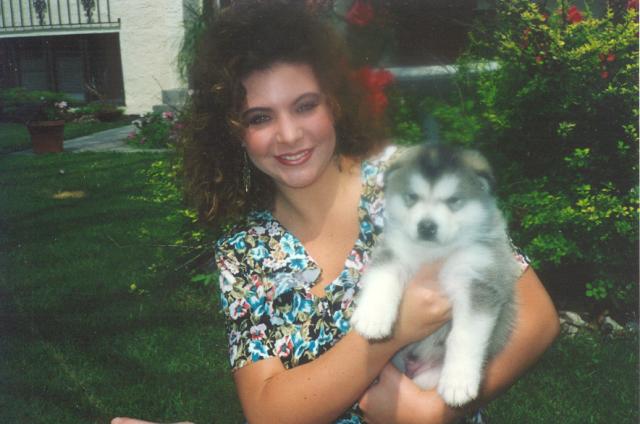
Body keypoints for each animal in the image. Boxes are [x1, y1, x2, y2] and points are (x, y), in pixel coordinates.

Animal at [352, 143, 524, 408]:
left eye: (453, 200)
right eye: (412, 197)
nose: (427, 226)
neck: (434, 252)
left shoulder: (479, 279)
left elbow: (465, 335)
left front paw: (458, 382)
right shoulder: (394, 250)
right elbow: (382, 279)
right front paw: (373, 317)